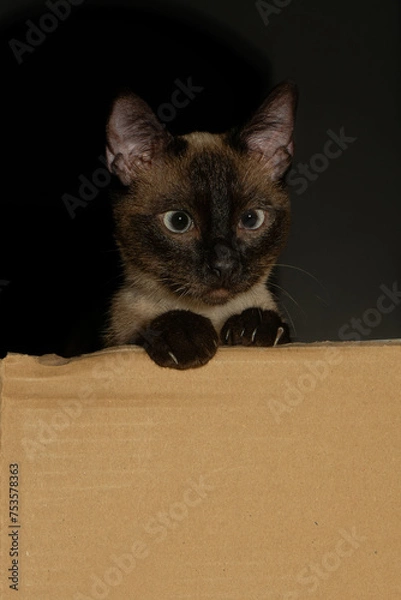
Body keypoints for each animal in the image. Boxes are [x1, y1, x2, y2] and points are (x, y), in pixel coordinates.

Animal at [103, 81, 296, 368]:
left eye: (251, 219)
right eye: (178, 221)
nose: (224, 265)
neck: (211, 314)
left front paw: (254, 328)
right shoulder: (114, 345)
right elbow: (142, 330)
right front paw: (185, 337)